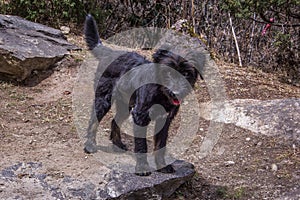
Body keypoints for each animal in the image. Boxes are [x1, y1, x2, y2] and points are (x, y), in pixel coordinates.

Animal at [83, 15, 203, 175]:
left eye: (186, 73)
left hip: (125, 105)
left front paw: (162, 166)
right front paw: (142, 168)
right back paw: (90, 145)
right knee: (93, 121)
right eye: (168, 72)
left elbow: (160, 145)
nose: (176, 92)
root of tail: (109, 52)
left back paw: (118, 144)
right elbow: (141, 144)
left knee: (114, 121)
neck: (160, 93)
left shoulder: (164, 119)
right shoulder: (140, 116)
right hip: (103, 100)